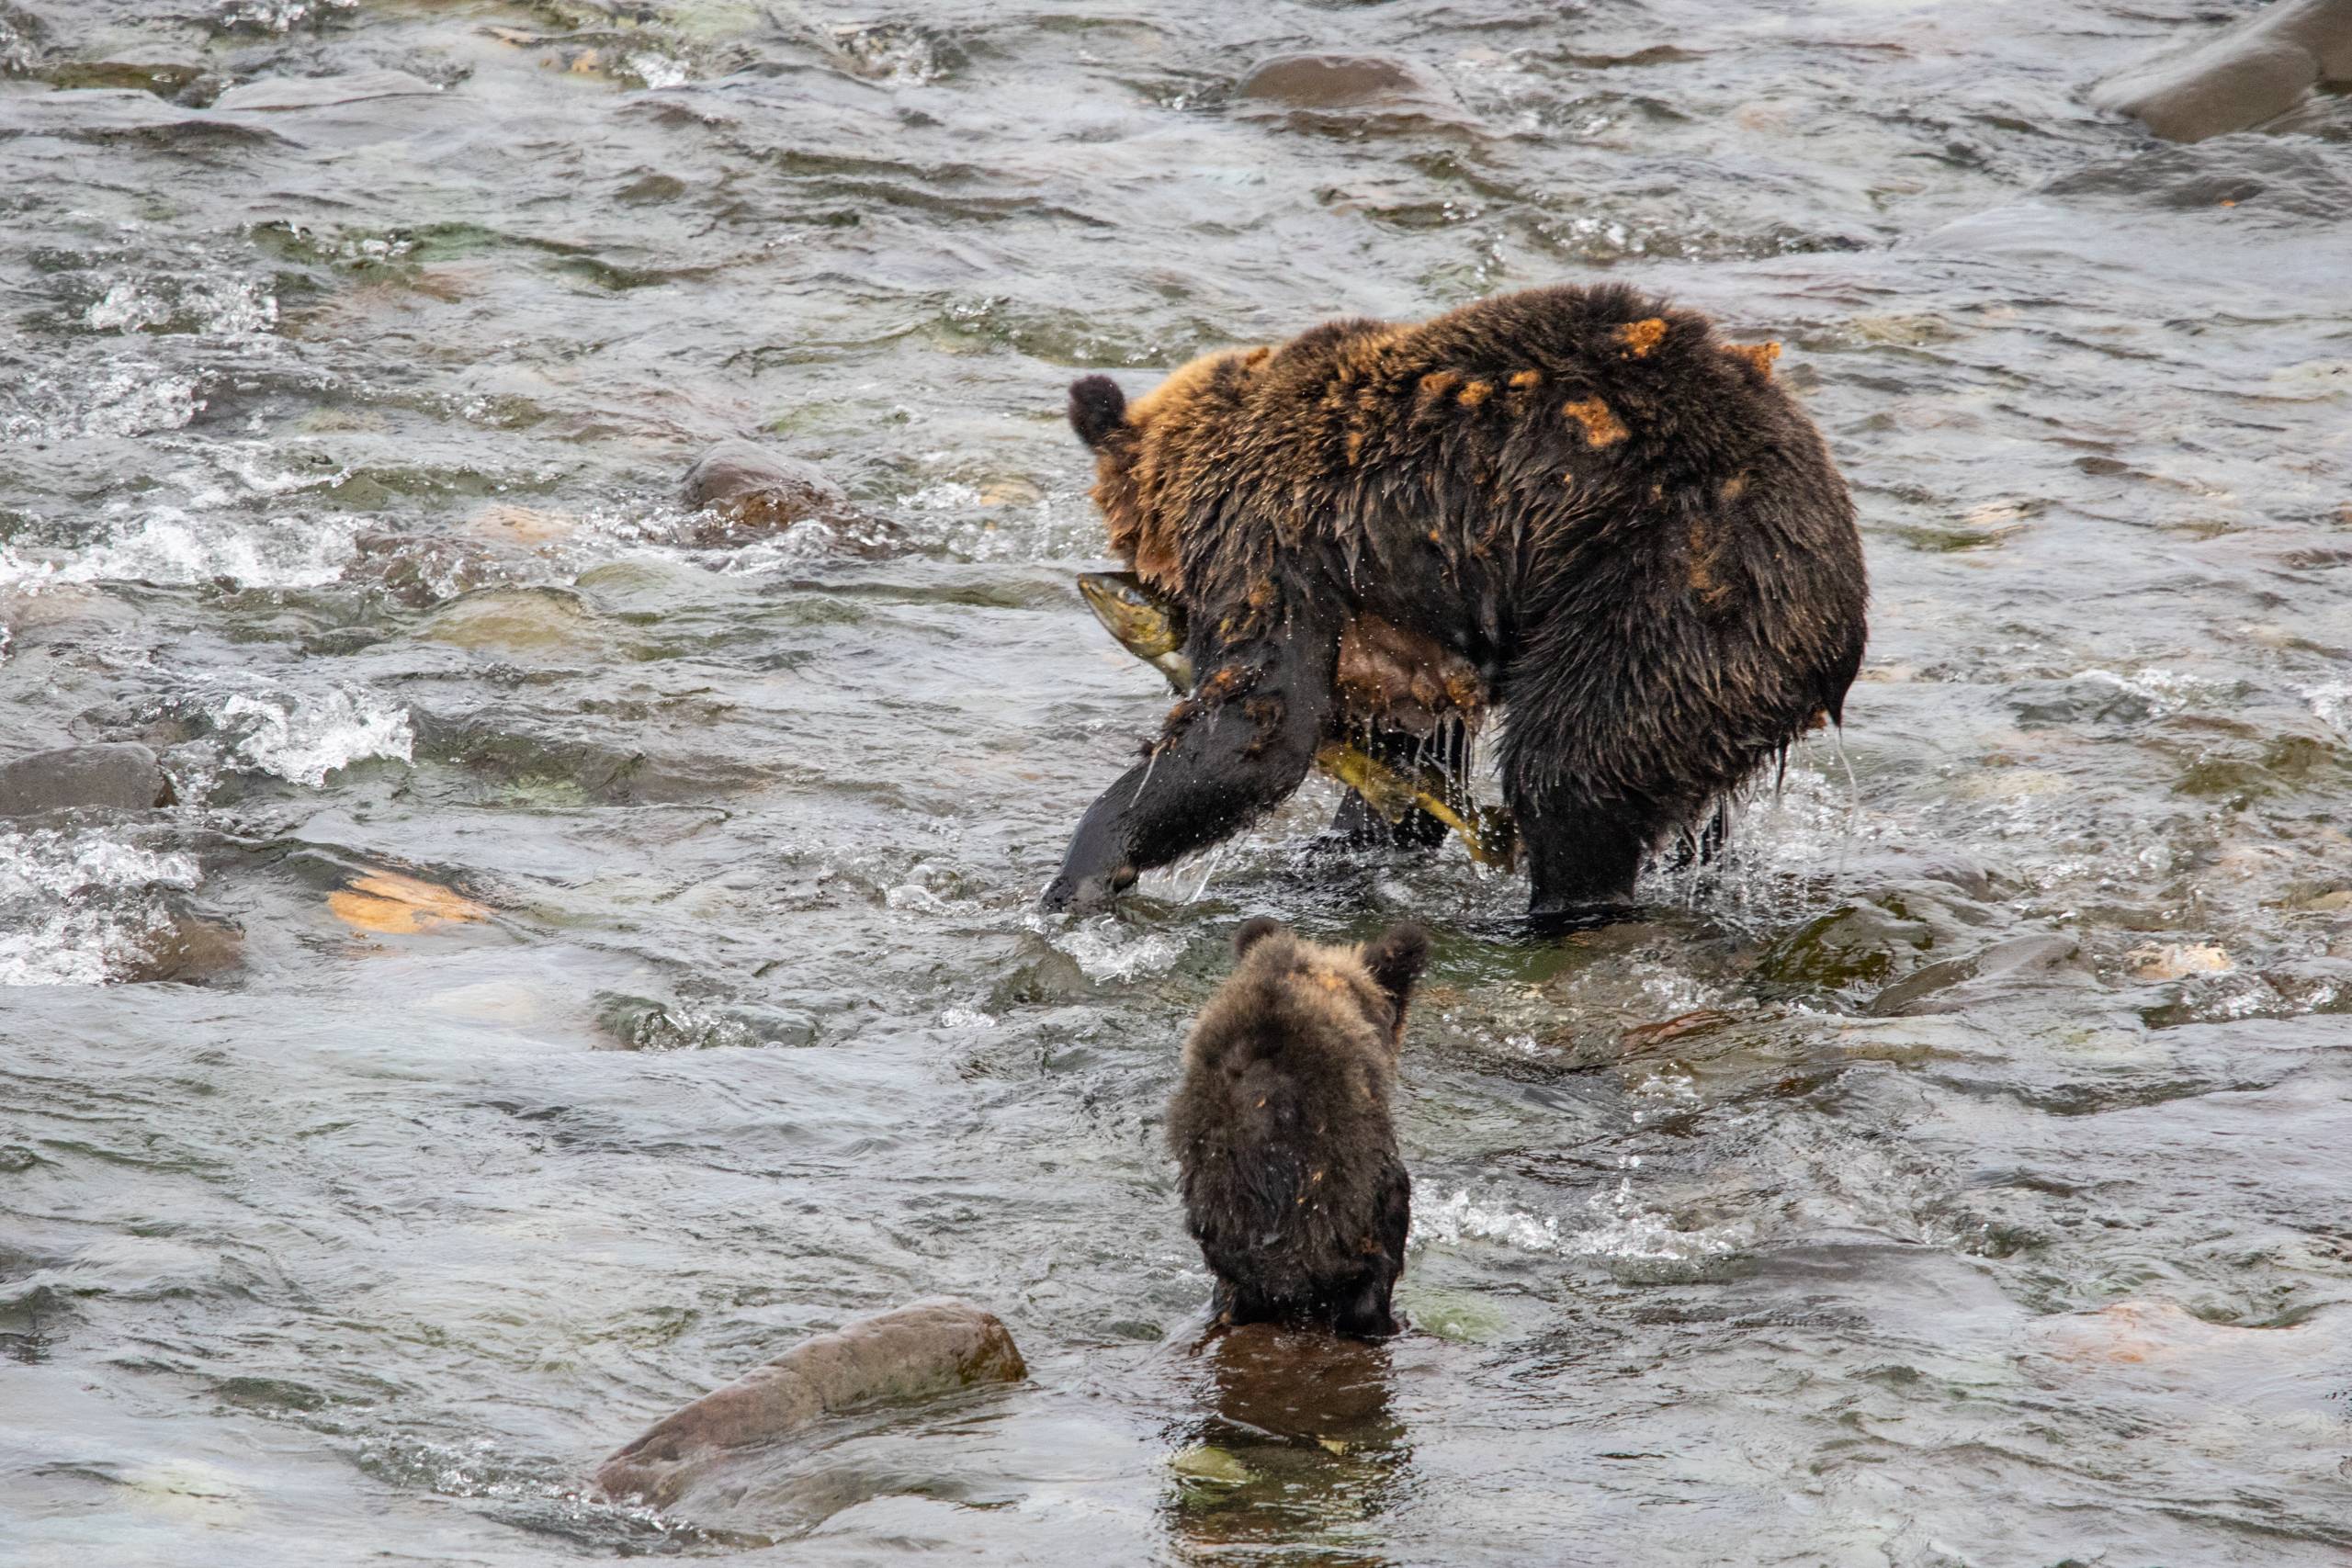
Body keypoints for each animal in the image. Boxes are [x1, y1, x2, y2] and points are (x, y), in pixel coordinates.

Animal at [1039, 282, 1868, 924]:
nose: (1114, 582)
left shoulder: (1272, 540)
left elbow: (1261, 721)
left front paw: (1082, 871)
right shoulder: (1407, 635)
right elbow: (1408, 754)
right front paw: (1344, 848)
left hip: (1671, 590)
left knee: (1573, 769)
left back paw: (1553, 909)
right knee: (1684, 800)